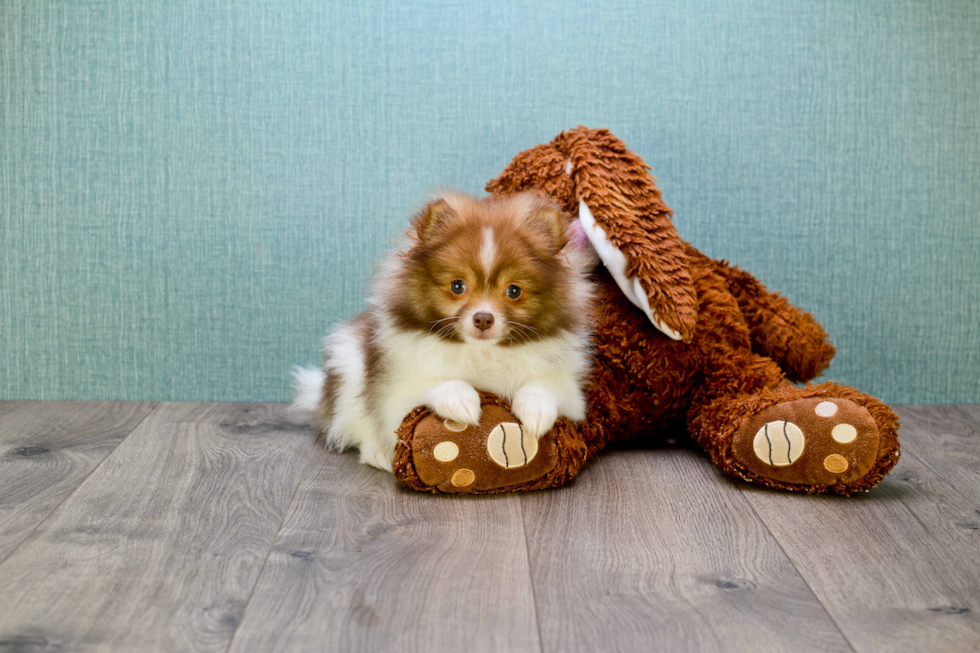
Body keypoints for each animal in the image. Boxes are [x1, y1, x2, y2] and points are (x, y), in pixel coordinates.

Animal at [292, 188, 596, 468]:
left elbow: (542, 384)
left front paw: (536, 411)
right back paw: (378, 453)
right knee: (355, 424)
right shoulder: (396, 389)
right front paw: (461, 400)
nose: (483, 318)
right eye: (457, 286)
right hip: (347, 366)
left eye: (513, 291)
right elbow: (436, 383)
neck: (481, 352)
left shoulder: (571, 393)